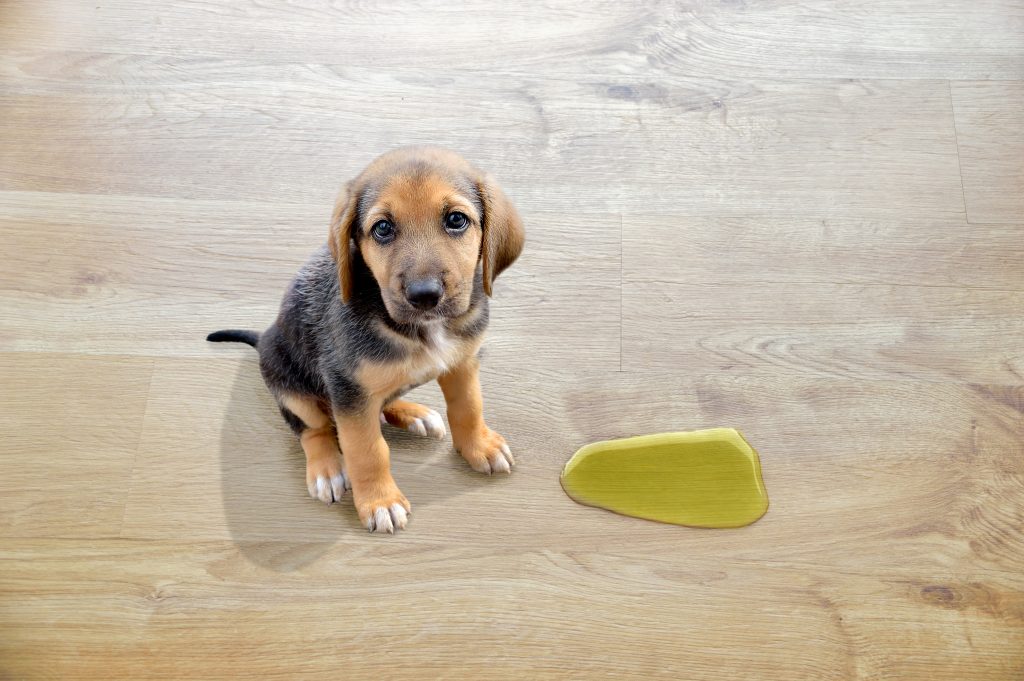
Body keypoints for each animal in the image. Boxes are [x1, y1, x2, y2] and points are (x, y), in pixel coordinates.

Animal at [208, 146, 528, 532]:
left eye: (456, 220)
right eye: (383, 228)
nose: (424, 296)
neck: (422, 329)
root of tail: (264, 337)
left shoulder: (463, 363)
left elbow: (468, 407)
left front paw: (479, 446)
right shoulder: (348, 388)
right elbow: (367, 451)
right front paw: (380, 502)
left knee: (382, 402)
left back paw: (414, 413)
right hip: (289, 383)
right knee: (313, 429)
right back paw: (327, 469)